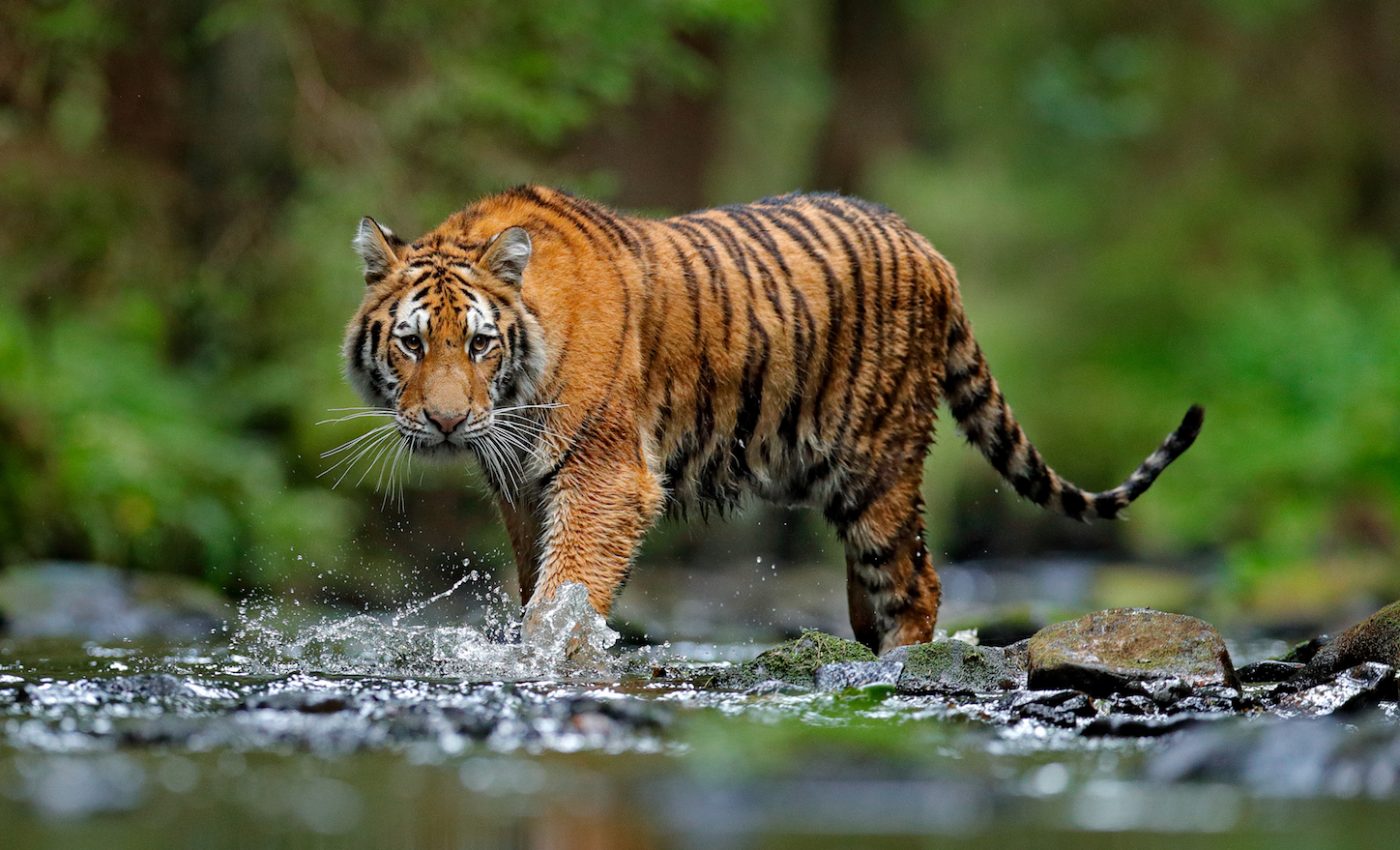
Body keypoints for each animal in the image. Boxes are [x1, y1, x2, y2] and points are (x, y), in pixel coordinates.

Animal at [342, 185, 1203, 654]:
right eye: (412, 343)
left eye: (479, 343)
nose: (447, 423)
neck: (515, 393)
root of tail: (929, 248)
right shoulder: (522, 489)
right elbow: (537, 585)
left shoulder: (605, 476)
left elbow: (566, 592)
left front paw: (550, 657)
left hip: (878, 465)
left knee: (916, 583)